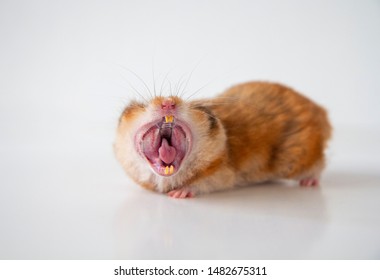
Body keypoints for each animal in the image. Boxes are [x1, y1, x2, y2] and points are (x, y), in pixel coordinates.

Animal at [114, 81, 332, 199]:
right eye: (142, 105)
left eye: (196, 107)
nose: (168, 103)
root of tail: (320, 111)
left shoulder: (222, 174)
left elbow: (199, 183)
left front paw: (178, 194)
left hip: (297, 160)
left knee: (318, 166)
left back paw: (309, 182)